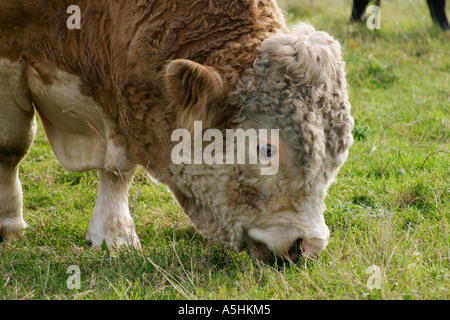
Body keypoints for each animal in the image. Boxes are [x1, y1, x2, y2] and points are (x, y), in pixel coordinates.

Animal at [0, 0, 354, 264]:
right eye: (266, 149)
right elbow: (11, 146)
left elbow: (119, 170)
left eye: (336, 157)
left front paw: (115, 235)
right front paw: (10, 225)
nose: (308, 245)